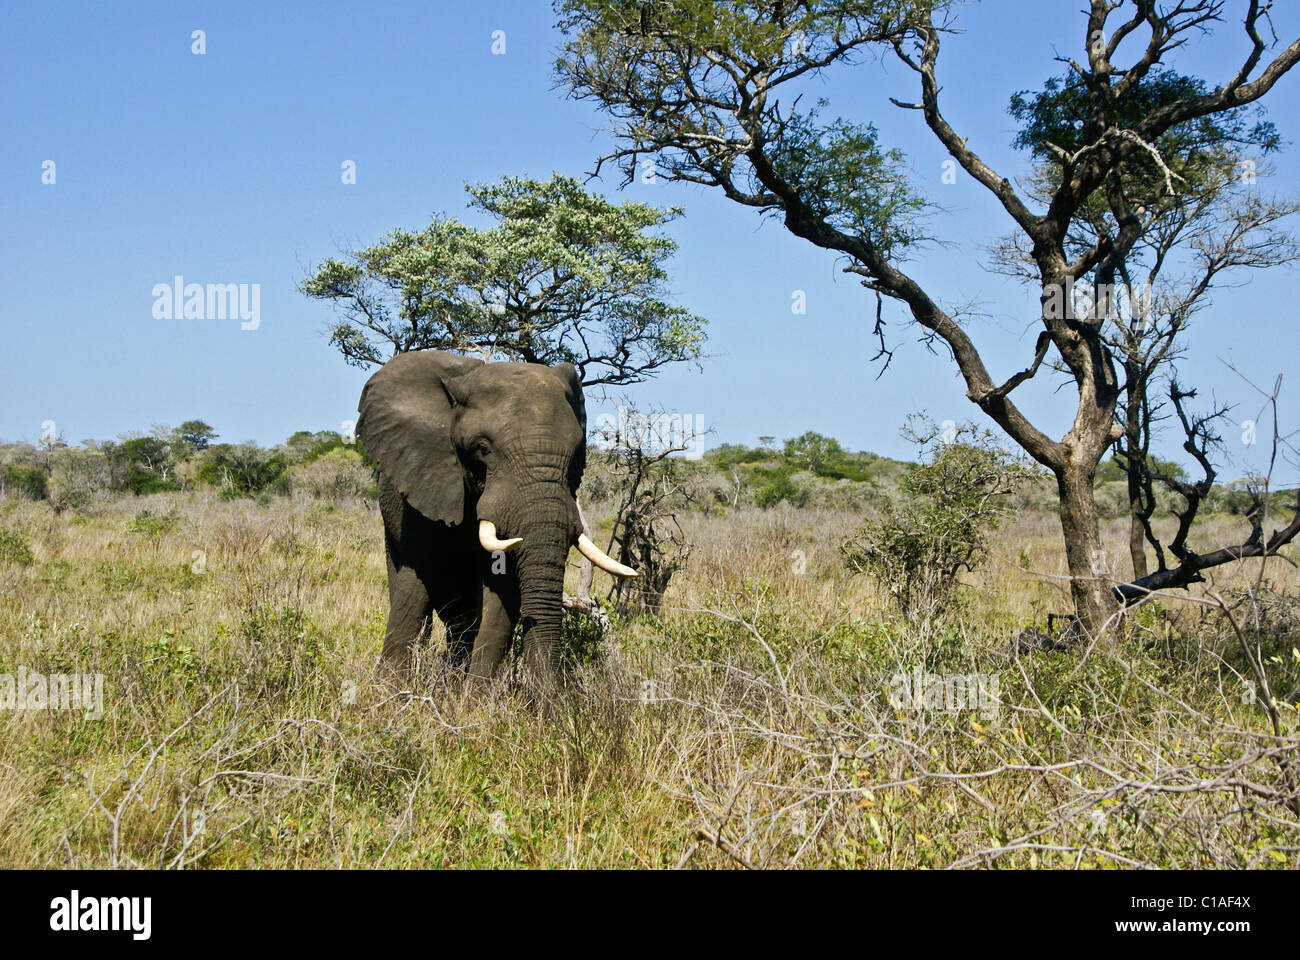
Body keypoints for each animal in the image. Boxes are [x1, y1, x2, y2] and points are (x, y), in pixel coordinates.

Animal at [356, 351, 639, 686]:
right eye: (483, 448)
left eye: (574, 455)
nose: (552, 700)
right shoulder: (424, 480)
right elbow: (416, 582)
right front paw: (388, 689)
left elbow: (500, 595)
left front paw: (475, 697)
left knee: (461, 620)